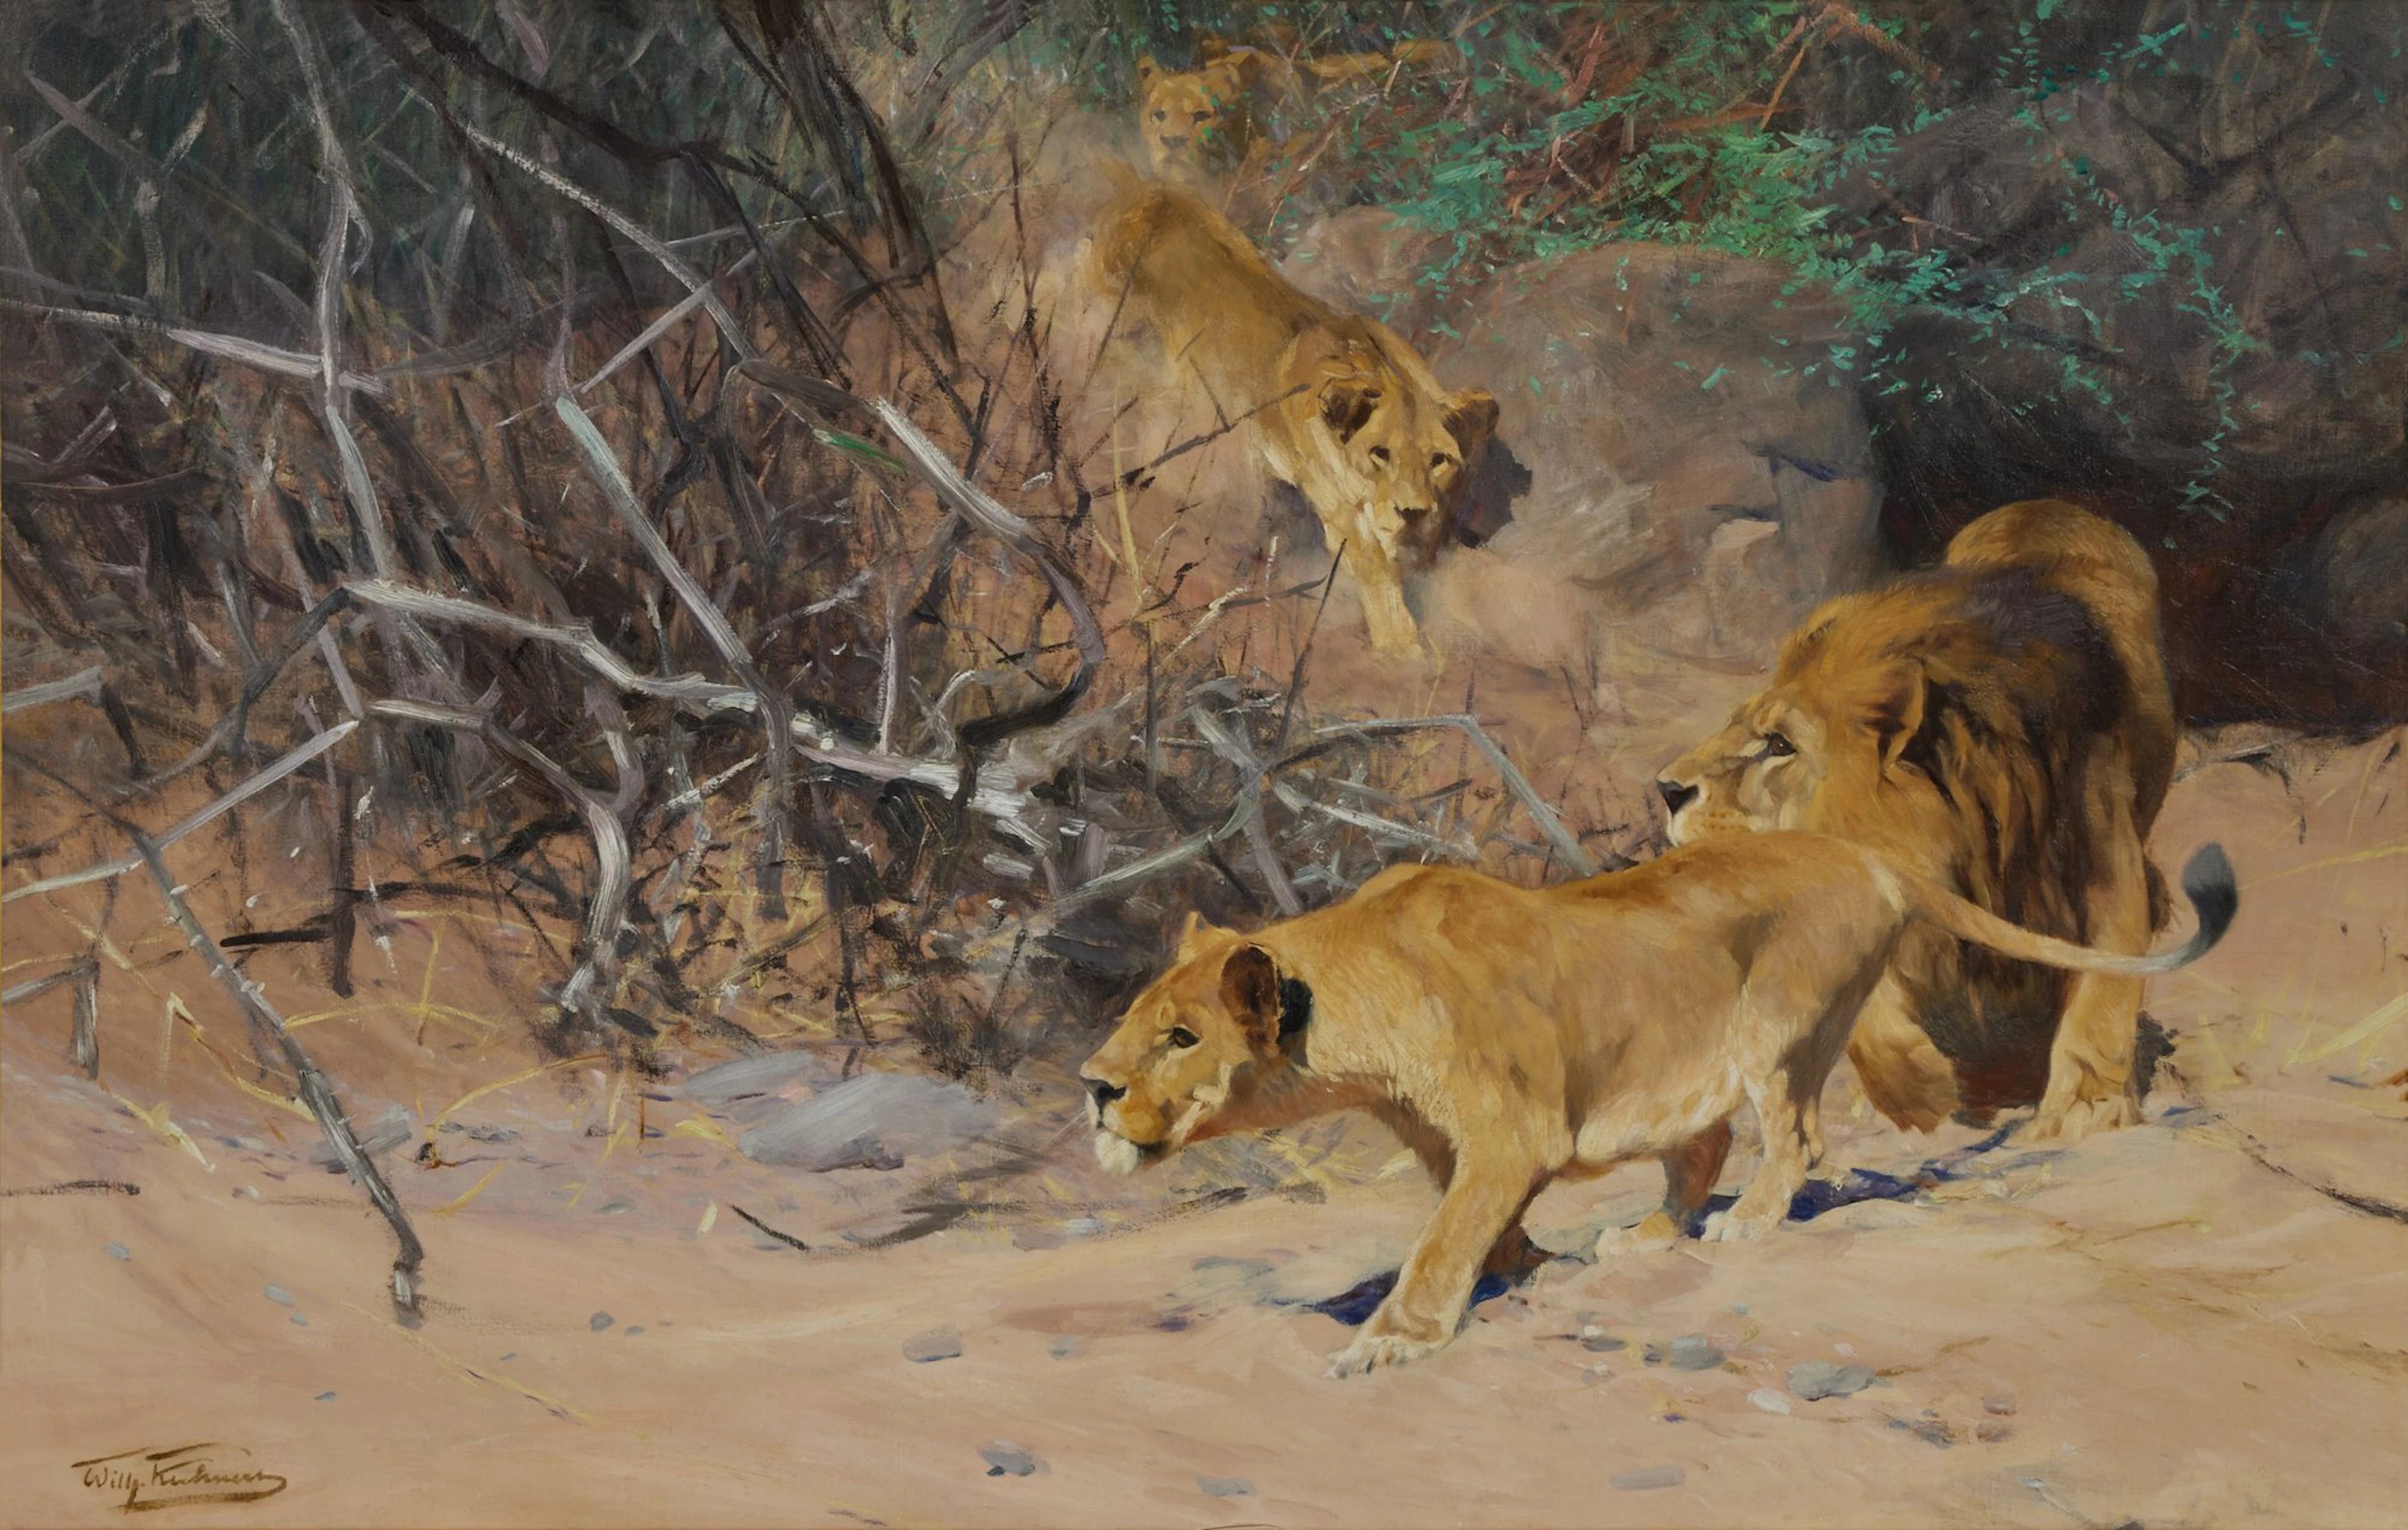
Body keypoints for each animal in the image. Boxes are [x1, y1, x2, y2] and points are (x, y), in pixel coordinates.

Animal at [1081, 833, 2234, 1375]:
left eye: (1181, 1037)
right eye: (1133, 1018)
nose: (1091, 1087)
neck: (1353, 1009)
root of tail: (1859, 850)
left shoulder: (1512, 1126)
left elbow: (1440, 1240)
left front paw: (1392, 1340)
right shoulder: (1447, 1137)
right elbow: (1473, 1218)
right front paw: (1526, 1266)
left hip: (1784, 1027)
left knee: (1795, 1140)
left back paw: (1744, 1226)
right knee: (1704, 1148)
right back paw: (1644, 1236)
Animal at [1084, 181, 1499, 655]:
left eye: (1440, 461)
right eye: (1380, 454)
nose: (1412, 512)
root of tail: (1148, 192)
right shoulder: (1341, 515)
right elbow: (1377, 577)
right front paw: (1401, 647)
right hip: (1110, 317)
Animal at [1656, 499, 2182, 1141]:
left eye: (1780, 745)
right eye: (1740, 724)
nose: (1667, 790)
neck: (1980, 832)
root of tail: (2047, 502)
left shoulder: (2104, 861)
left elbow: (2107, 988)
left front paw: (2086, 1106)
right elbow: (1867, 1007)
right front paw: (1920, 1091)